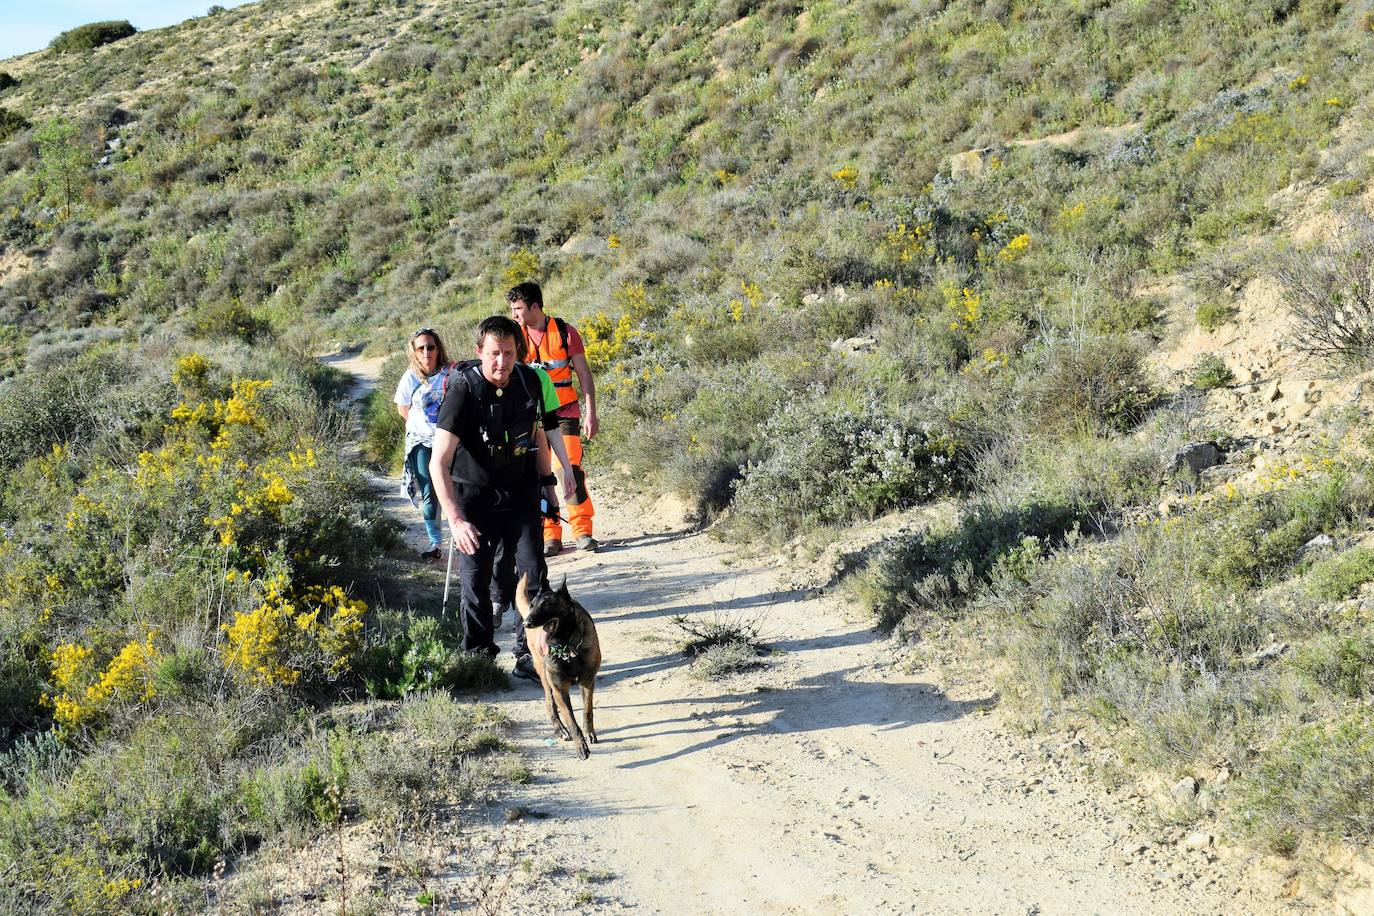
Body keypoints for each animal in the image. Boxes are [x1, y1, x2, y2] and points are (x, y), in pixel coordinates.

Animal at [516, 574, 601, 758]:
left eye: (546, 605)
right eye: (533, 605)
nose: (526, 623)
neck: (567, 647)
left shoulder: (587, 683)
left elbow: (587, 711)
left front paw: (589, 733)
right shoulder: (560, 690)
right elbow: (571, 721)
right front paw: (580, 746)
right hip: (545, 678)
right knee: (550, 702)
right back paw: (560, 729)